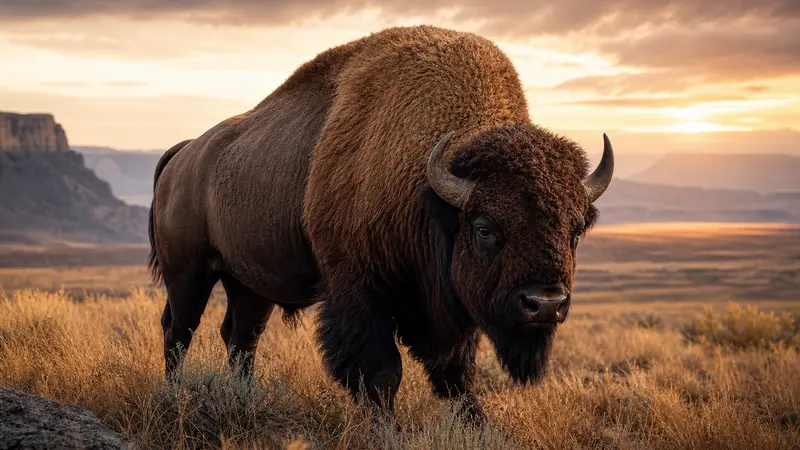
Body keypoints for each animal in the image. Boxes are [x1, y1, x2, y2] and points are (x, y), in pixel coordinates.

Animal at [149, 25, 614, 420]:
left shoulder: (449, 309)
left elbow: (457, 374)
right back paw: (173, 393)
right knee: (179, 330)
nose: (545, 304)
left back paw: (244, 397)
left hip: (249, 283)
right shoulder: (358, 291)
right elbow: (382, 372)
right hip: (188, 274)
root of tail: (186, 153)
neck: (427, 192)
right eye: (484, 228)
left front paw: (478, 424)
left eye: (575, 230)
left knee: (241, 337)